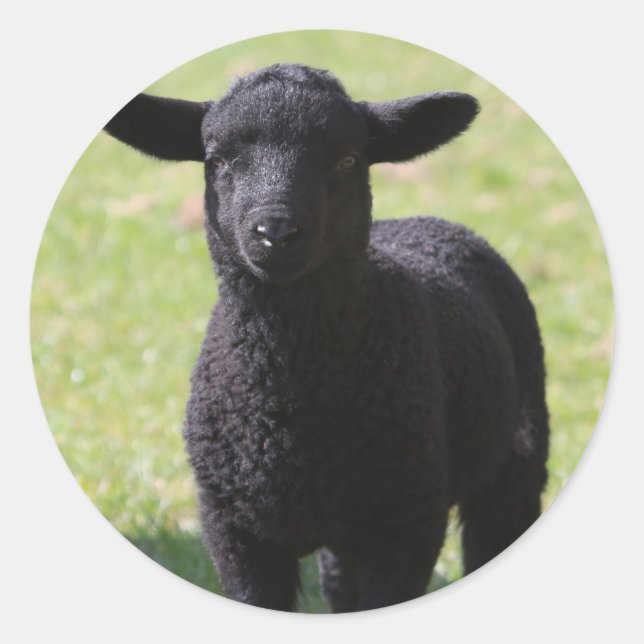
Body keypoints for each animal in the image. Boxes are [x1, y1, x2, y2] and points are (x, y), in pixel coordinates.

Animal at [104, 63, 549, 612]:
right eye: (218, 159)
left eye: (348, 158)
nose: (276, 233)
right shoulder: (233, 530)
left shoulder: (407, 525)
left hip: (516, 457)